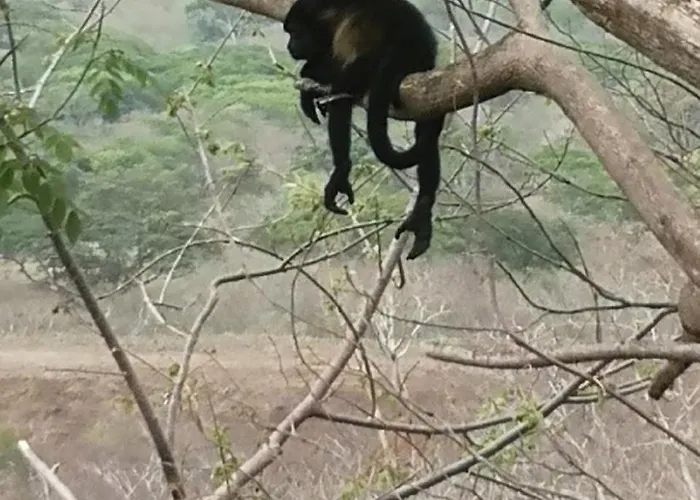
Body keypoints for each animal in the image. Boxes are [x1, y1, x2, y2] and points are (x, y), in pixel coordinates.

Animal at [283, 0, 446, 260]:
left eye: (295, 33)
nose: (290, 45)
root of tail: (410, 40)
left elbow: (341, 80)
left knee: (347, 87)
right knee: (427, 131)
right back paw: (423, 209)